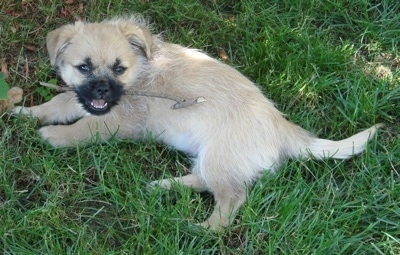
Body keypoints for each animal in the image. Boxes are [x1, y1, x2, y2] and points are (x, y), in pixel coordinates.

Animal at [13, 15, 382, 231]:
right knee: (205, 181)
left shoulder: (119, 121)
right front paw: (27, 113)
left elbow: (82, 129)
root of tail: (284, 129)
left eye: (119, 68)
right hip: (213, 158)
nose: (103, 90)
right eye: (84, 67)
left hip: (220, 157)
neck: (141, 73)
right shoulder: (85, 98)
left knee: (231, 198)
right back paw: (164, 186)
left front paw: (53, 136)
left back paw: (205, 229)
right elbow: (60, 102)